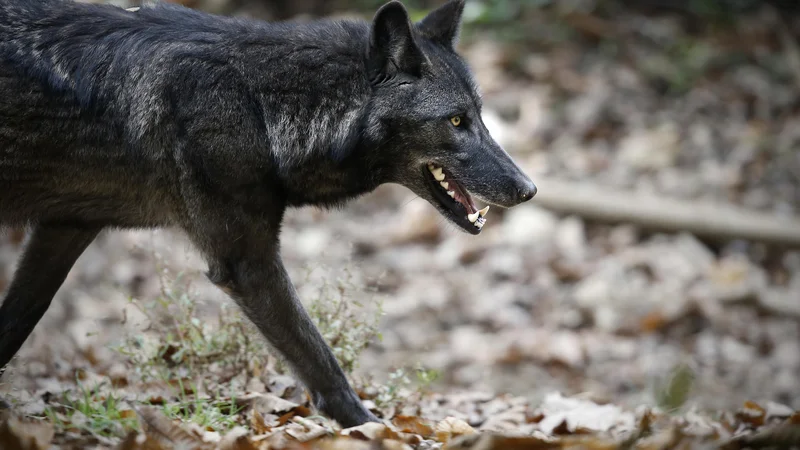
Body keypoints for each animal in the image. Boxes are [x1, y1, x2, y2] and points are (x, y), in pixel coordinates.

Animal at [1, 0, 536, 426]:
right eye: (455, 121)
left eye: (480, 116)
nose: (529, 189)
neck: (259, 103)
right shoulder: (247, 264)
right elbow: (321, 362)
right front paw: (372, 430)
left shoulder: (66, 227)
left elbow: (16, 319)